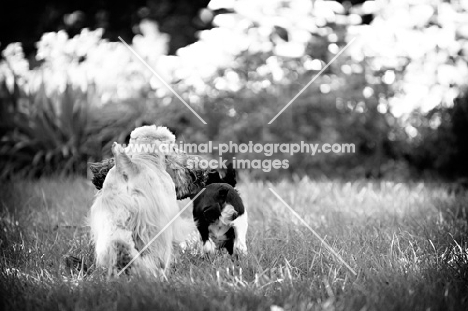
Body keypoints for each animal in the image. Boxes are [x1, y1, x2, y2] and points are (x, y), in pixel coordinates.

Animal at [89, 127, 194, 278]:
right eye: (173, 147)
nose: (185, 155)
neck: (145, 158)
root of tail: (128, 169)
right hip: (151, 225)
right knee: (155, 254)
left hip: (112, 219)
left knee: (118, 242)